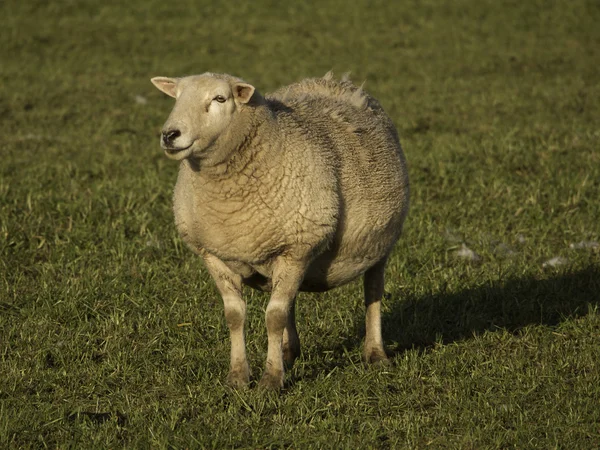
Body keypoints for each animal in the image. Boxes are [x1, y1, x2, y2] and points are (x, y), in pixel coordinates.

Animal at [152, 72, 410, 388]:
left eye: (220, 98)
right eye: (176, 97)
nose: (169, 135)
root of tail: (334, 81)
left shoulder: (297, 250)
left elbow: (273, 317)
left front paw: (272, 379)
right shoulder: (214, 254)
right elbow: (235, 316)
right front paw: (238, 376)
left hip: (381, 242)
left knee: (372, 292)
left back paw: (375, 352)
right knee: (291, 301)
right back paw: (289, 350)